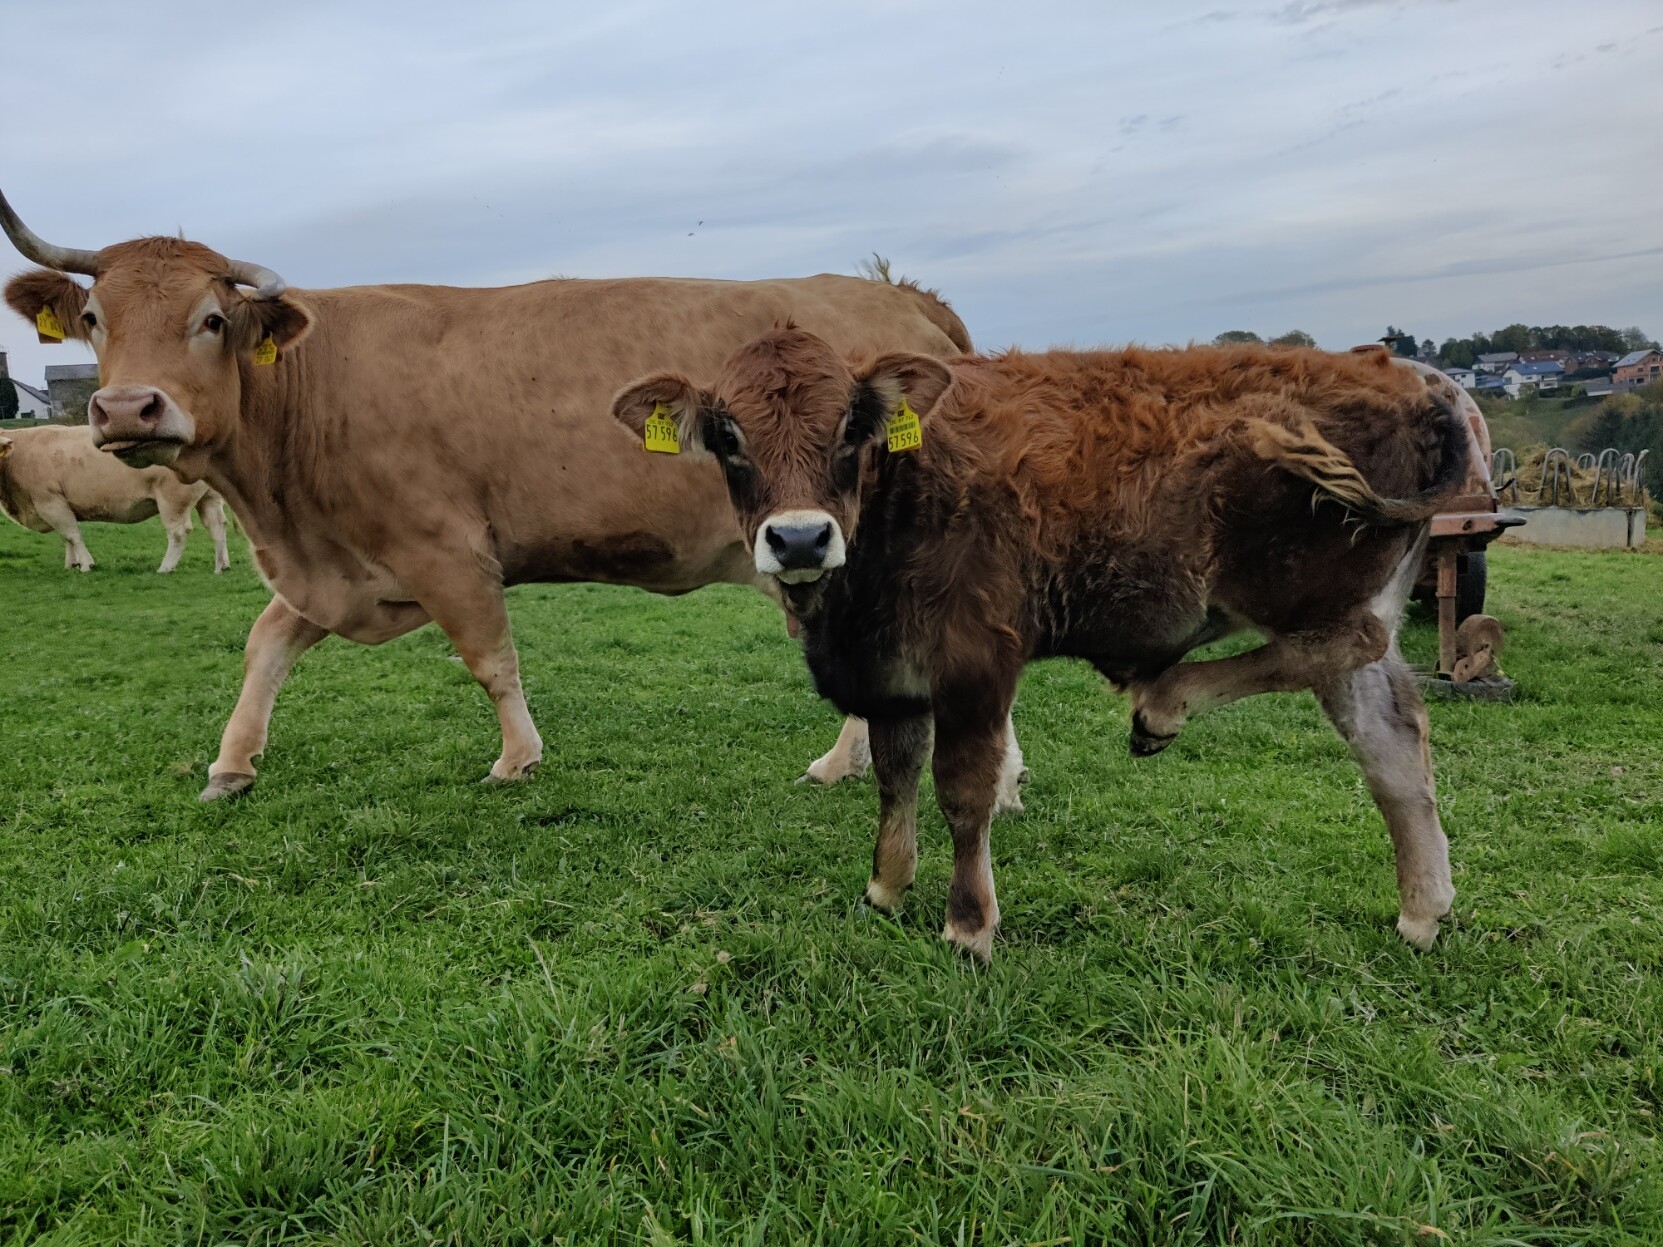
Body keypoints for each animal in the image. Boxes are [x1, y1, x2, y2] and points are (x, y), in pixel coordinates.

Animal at [0, 423, 230, 573]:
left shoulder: (50, 503)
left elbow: (72, 535)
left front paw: (86, 564)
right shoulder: (55, 507)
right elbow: (66, 537)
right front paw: (71, 564)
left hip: (172, 500)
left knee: (178, 533)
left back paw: (165, 568)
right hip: (210, 498)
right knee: (217, 526)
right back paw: (221, 565)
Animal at [611, 327, 1473, 960]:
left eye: (851, 426)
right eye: (727, 434)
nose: (797, 538)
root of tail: (1416, 377)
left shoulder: (975, 658)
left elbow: (963, 788)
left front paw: (967, 924)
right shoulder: (890, 674)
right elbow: (894, 775)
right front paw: (886, 884)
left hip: (1306, 588)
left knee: (1348, 645)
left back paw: (1162, 703)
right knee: (1390, 739)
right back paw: (1422, 910)